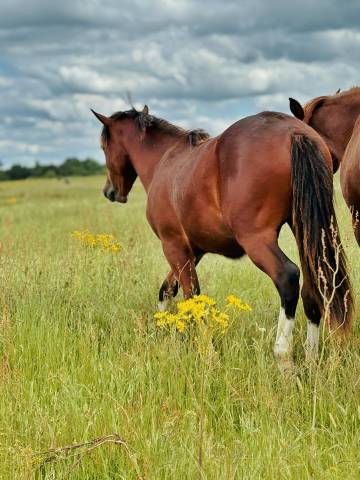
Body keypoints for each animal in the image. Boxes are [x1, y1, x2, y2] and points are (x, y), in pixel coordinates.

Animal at [91, 105, 352, 360]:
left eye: (104, 146)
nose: (109, 191)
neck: (164, 161)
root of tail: (293, 132)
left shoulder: (173, 245)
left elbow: (192, 296)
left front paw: (204, 351)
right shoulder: (193, 250)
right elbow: (168, 290)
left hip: (256, 240)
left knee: (287, 277)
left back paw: (283, 355)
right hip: (305, 235)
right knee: (313, 287)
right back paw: (311, 358)